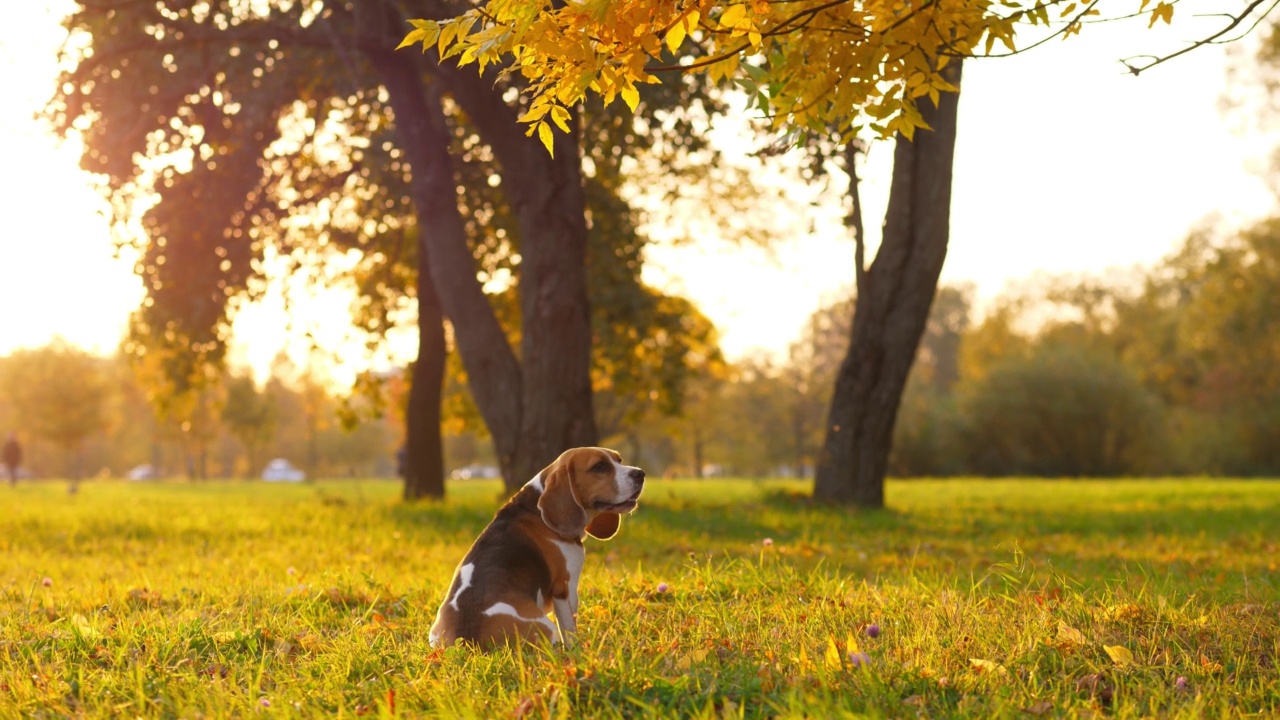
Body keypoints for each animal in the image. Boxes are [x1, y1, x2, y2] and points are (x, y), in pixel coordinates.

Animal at [430, 445, 645, 648]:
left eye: (619, 460)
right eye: (599, 466)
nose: (640, 474)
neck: (535, 510)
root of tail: (468, 641)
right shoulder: (565, 587)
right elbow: (570, 629)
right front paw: (578, 652)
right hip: (547, 626)